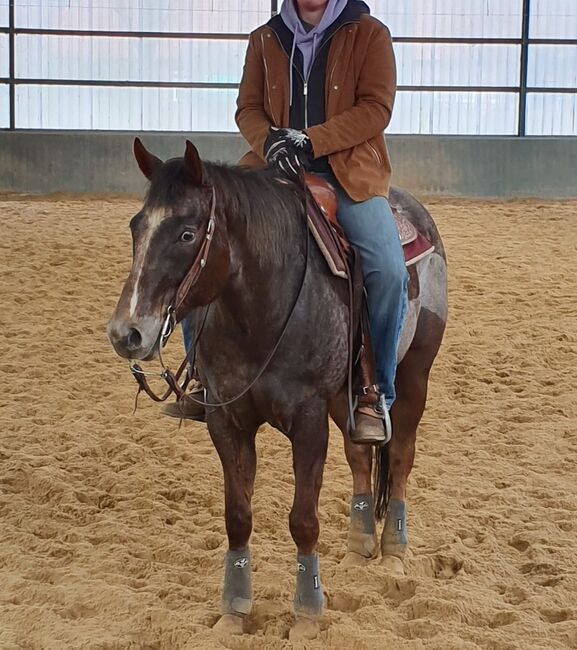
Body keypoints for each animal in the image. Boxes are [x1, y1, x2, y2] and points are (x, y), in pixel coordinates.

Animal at [109, 139, 450, 640]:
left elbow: (303, 520)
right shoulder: (226, 420)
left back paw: (392, 551)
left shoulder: (308, 422)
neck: (260, 311)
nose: (126, 333)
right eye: (137, 226)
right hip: (344, 397)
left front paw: (308, 612)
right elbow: (237, 516)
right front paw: (233, 609)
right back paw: (358, 545)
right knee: (360, 455)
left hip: (413, 376)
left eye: (187, 234)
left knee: (401, 454)